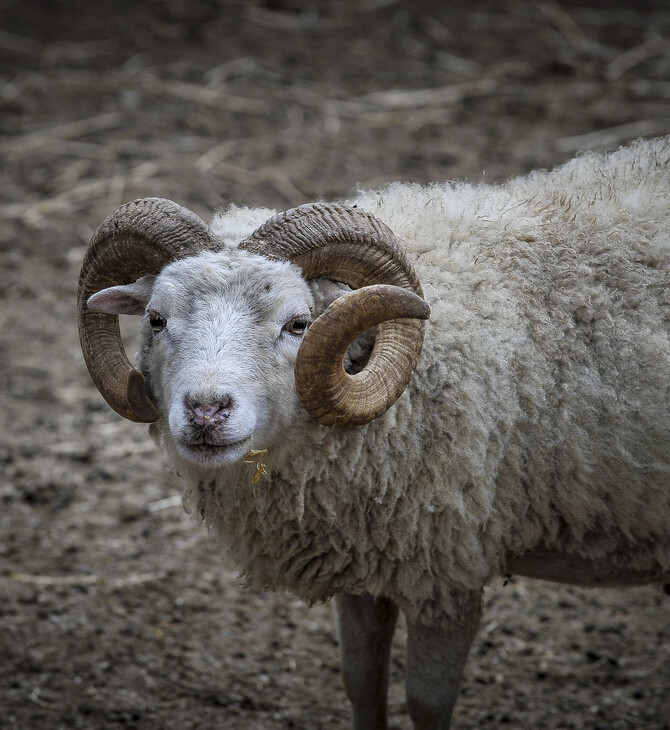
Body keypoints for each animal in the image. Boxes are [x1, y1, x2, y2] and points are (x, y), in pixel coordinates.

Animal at [76, 136, 670, 728]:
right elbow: (361, 681)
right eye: (156, 319)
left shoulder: (447, 574)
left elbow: (427, 701)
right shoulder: (360, 563)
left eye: (298, 323)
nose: (205, 411)